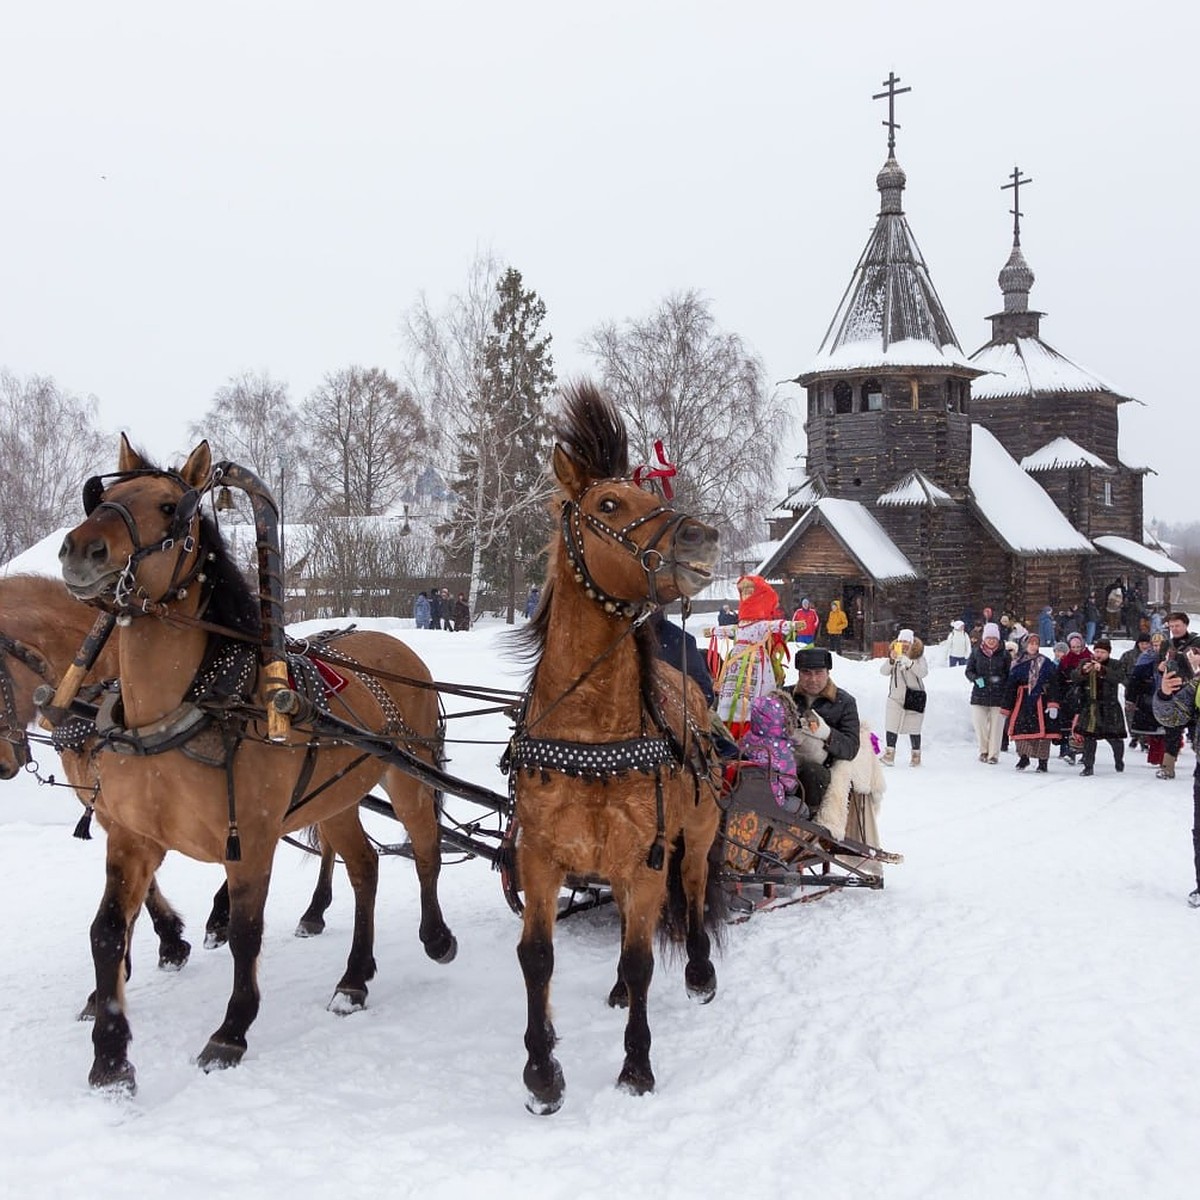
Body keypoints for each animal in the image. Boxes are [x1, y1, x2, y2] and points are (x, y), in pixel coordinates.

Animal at [55, 436, 453, 1094]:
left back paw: (437, 937)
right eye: (103, 497)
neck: (195, 704)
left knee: (424, 852)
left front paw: (231, 1030)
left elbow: (245, 932)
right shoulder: (132, 837)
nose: (81, 549)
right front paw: (110, 1056)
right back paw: (355, 978)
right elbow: (107, 932)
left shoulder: (254, 839)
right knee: (365, 866)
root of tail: (397, 646)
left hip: (408, 776)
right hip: (336, 796)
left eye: (170, 508)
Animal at [506, 384, 720, 1113]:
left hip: (695, 834)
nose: (704, 537)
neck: (593, 733)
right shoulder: (540, 857)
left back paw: (701, 969)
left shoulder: (645, 857)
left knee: (698, 889)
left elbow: (642, 955)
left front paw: (636, 1065)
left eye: (648, 498)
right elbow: (537, 957)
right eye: (607, 505)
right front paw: (542, 1073)